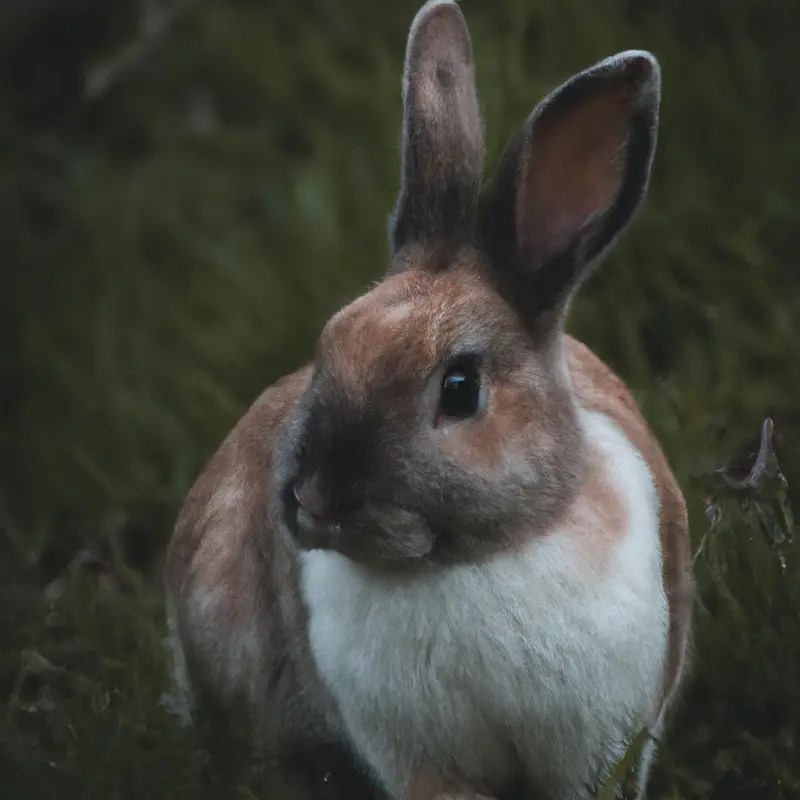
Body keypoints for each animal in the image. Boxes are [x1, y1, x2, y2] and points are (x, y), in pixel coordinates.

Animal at [165, 1, 695, 798]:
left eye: (459, 388)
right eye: (329, 344)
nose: (315, 498)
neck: (472, 558)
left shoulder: (604, 743)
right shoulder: (410, 757)